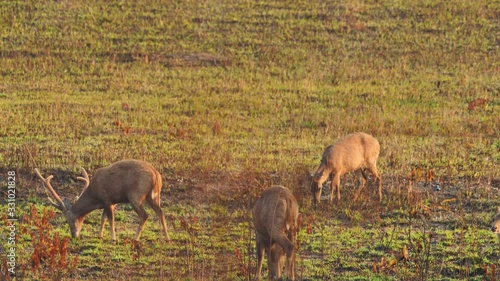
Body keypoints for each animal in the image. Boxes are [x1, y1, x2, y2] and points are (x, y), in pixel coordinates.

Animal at [34, 159, 170, 242]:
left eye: (68, 220)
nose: (73, 235)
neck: (95, 197)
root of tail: (156, 175)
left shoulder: (107, 199)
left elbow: (110, 219)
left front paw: (113, 238)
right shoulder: (111, 202)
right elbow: (103, 218)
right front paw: (100, 236)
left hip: (135, 194)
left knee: (144, 215)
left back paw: (135, 238)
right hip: (153, 196)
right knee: (161, 212)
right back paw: (167, 238)